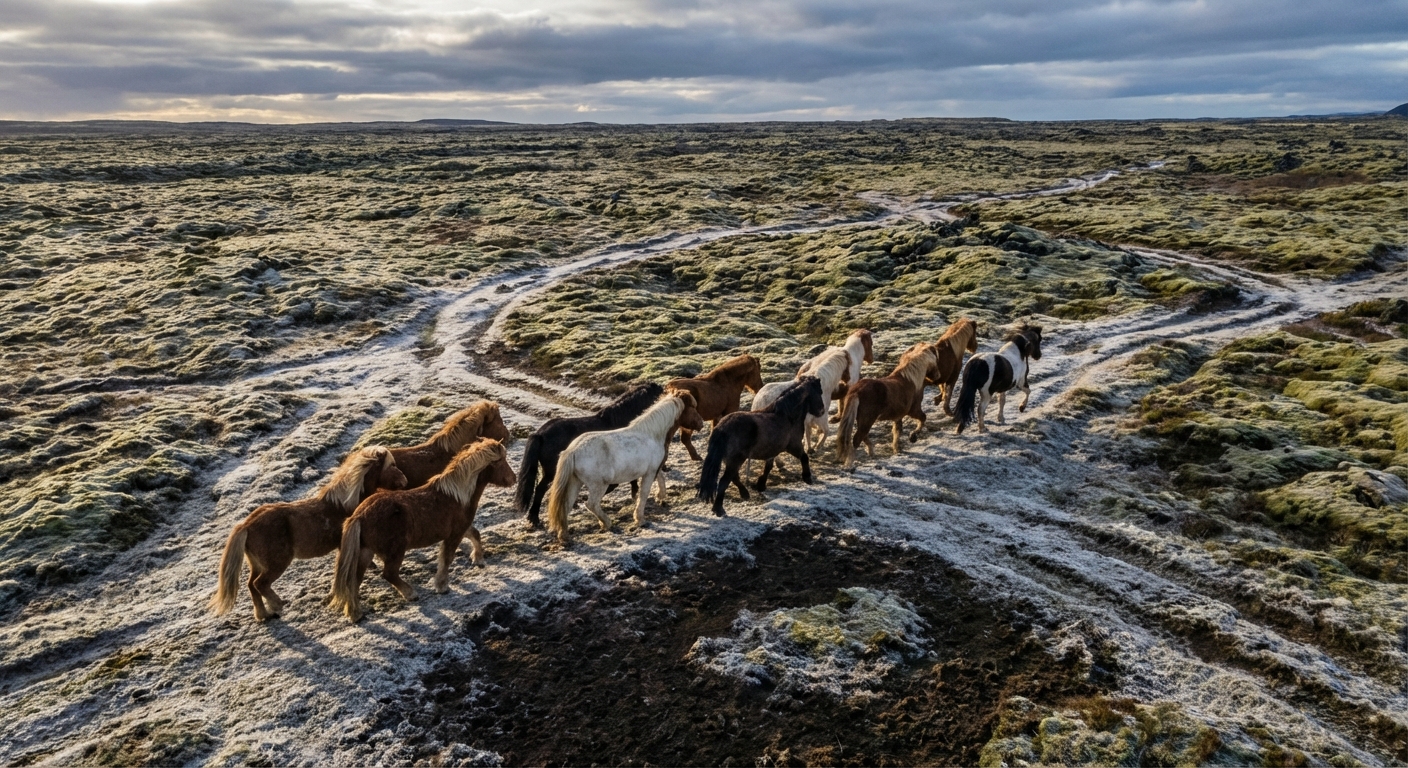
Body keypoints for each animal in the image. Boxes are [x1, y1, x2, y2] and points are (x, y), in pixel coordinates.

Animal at [209, 446, 408, 621]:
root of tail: (246, 525)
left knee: (251, 585)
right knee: (260, 584)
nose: (405, 482)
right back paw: (277, 605)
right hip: (276, 563)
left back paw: (263, 615)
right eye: (392, 465)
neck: (343, 505)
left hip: (257, 564)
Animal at [329, 438, 515, 622]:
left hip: (366, 552)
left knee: (354, 581)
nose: (513, 479)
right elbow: (447, 558)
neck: (457, 496)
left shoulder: (462, 528)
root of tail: (358, 516)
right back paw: (411, 594)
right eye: (501, 461)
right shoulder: (454, 534)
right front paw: (442, 586)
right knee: (388, 574)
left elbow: (475, 534)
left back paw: (355, 613)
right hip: (395, 552)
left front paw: (478, 560)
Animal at [546, 391, 704, 545]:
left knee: (566, 506)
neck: (652, 435)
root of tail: (573, 450)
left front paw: (660, 496)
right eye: (693, 407)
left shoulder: (654, 469)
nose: (701, 424)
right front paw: (640, 519)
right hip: (598, 485)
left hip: (575, 483)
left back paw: (564, 537)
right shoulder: (649, 473)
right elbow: (643, 494)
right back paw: (606, 523)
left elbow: (661, 477)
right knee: (591, 504)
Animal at [698, 377, 825, 516]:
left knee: (734, 477)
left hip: (730, 460)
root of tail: (721, 428)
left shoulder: (773, 450)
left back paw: (744, 493)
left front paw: (761, 485)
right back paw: (719, 509)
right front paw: (807, 477)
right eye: (819, 392)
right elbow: (804, 457)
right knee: (724, 481)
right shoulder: (793, 445)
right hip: (736, 460)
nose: (821, 411)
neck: (786, 416)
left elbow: (768, 467)